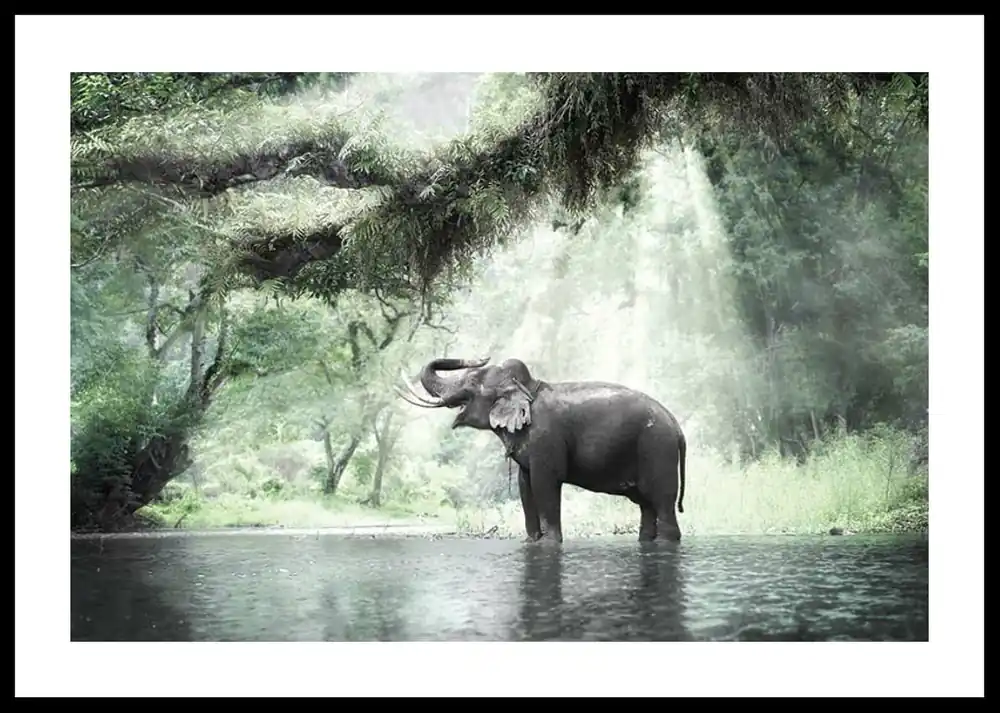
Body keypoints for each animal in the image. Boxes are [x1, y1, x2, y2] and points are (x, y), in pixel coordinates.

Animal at [397, 356, 686, 544]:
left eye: (469, 382)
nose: (479, 357)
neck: (528, 387)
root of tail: (677, 426)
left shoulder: (546, 439)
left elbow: (545, 482)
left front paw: (549, 543)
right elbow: (526, 486)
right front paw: (531, 542)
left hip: (657, 449)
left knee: (662, 503)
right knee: (647, 506)